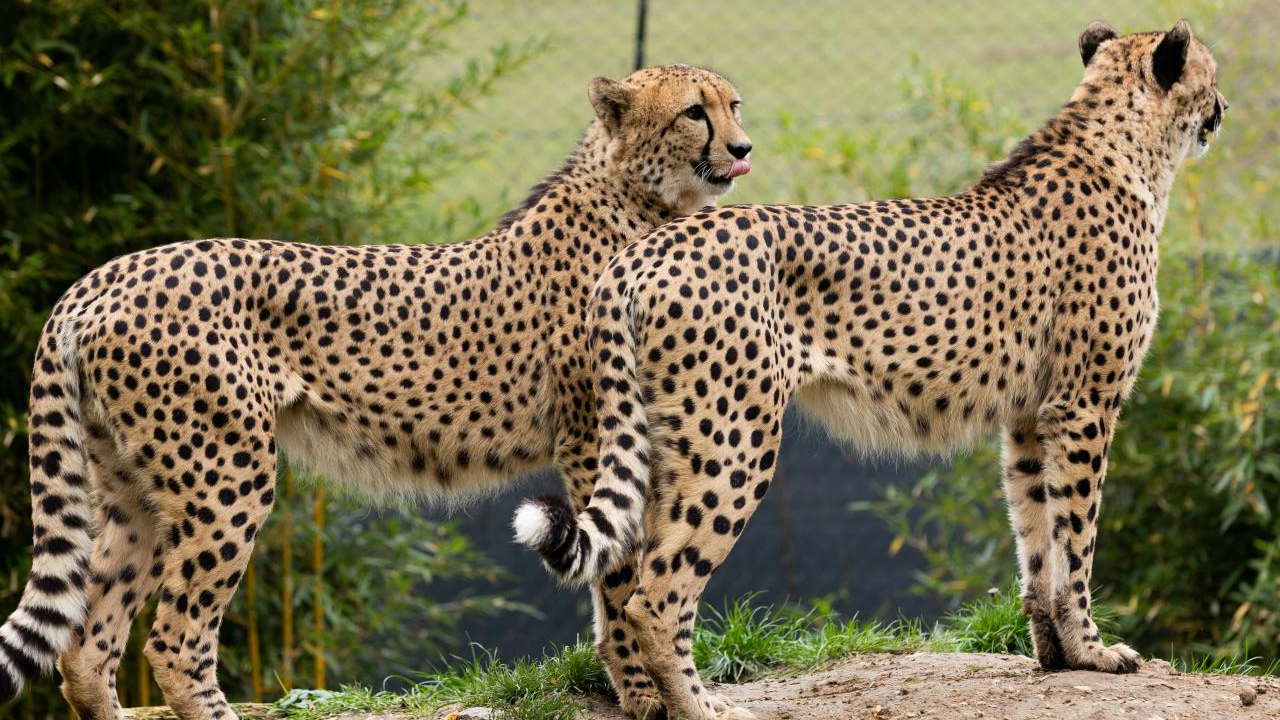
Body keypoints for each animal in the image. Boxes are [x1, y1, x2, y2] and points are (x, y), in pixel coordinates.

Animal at [0, 64, 751, 720]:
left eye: (733, 104)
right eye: (694, 111)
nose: (744, 147)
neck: (639, 200)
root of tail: (101, 276)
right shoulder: (595, 434)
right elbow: (621, 568)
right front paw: (647, 695)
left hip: (133, 492)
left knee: (85, 646)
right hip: (223, 478)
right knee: (174, 639)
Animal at [516, 21, 1226, 720]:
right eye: (1212, 74)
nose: (1223, 107)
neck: (1121, 148)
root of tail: (643, 250)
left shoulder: (1028, 418)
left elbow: (1035, 535)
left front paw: (1053, 652)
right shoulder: (1084, 407)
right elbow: (1076, 537)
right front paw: (1092, 651)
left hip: (667, 440)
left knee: (633, 574)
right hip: (733, 442)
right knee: (654, 596)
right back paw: (702, 707)